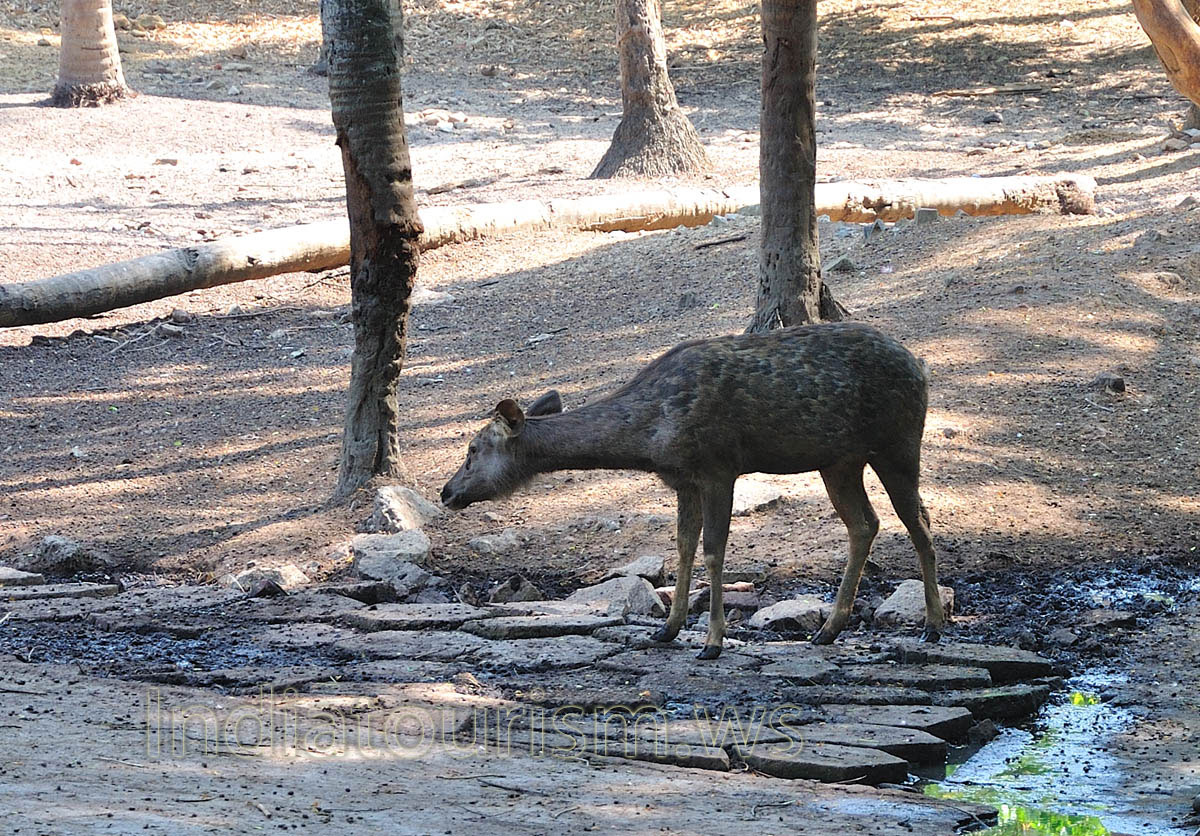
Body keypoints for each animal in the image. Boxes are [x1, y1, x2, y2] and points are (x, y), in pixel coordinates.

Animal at [441, 322, 946, 660]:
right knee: (866, 523)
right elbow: (683, 546)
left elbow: (713, 551)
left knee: (918, 521)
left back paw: (934, 625)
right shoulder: (682, 479)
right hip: (839, 461)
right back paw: (828, 630)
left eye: (472, 449)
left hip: (897, 442)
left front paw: (712, 641)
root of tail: (921, 366)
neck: (648, 439)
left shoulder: (718, 467)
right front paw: (668, 628)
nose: (447, 492)